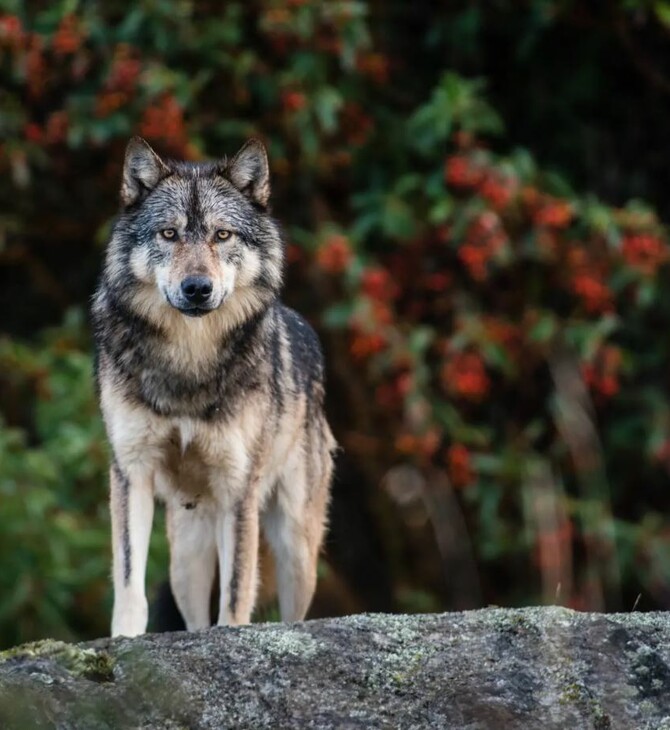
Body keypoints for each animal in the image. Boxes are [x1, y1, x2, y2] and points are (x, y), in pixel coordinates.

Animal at [90, 136, 336, 636]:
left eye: (222, 235)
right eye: (169, 234)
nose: (197, 288)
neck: (190, 359)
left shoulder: (238, 486)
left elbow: (237, 591)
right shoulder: (131, 471)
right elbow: (128, 580)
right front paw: (124, 639)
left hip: (296, 550)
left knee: (292, 611)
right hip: (186, 559)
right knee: (194, 617)